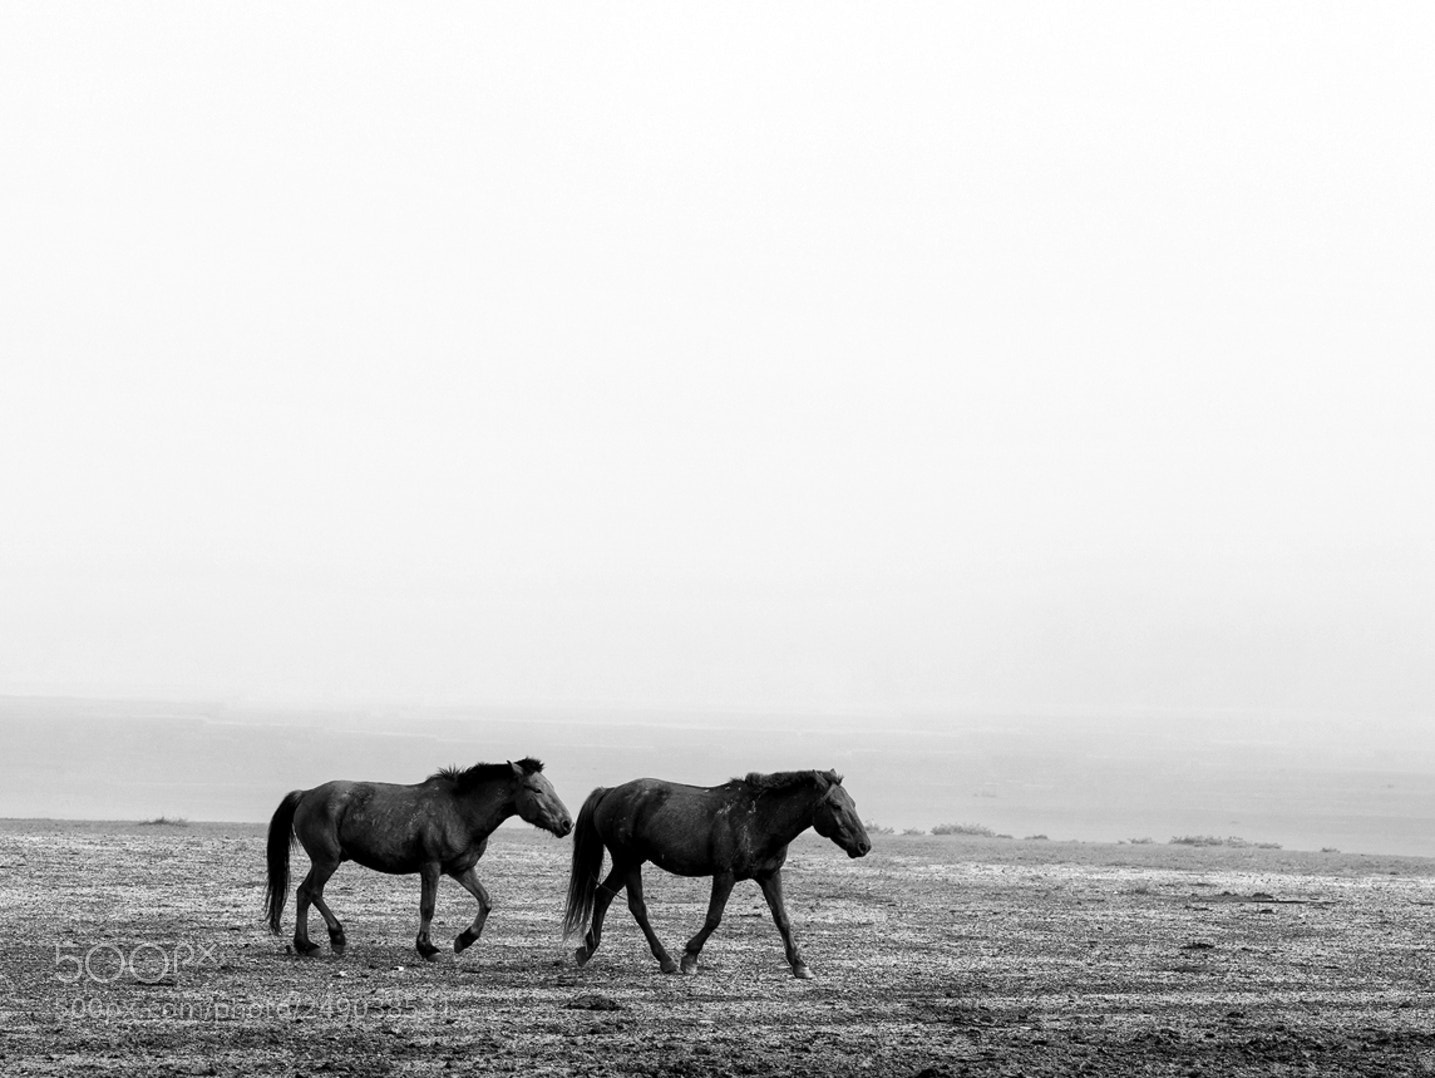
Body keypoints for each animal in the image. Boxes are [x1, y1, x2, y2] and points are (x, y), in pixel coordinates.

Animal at [265, 758, 572, 959]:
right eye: (537, 790)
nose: (567, 823)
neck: (461, 810)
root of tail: (306, 794)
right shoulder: (431, 867)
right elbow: (428, 907)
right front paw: (427, 947)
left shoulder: (462, 869)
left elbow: (486, 901)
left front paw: (464, 940)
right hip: (327, 860)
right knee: (311, 891)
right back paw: (331, 938)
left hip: (324, 862)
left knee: (304, 893)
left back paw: (308, 944)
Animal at [562, 769, 870, 978]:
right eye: (836, 805)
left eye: (854, 803)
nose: (863, 845)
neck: (758, 818)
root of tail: (609, 791)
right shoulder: (725, 875)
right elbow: (714, 918)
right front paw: (690, 958)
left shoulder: (770, 875)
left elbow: (782, 919)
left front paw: (800, 964)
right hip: (628, 861)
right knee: (637, 906)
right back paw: (666, 960)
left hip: (626, 862)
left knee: (602, 896)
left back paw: (587, 950)